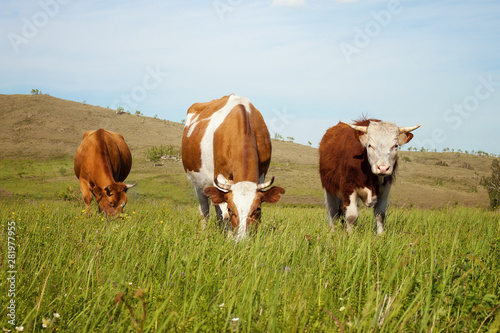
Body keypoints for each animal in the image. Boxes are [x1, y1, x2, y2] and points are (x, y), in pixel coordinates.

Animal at [183, 94, 286, 240]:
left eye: (258, 209)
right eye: (232, 209)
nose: (243, 240)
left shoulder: (260, 176)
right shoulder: (221, 178)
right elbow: (225, 213)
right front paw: (230, 237)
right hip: (199, 183)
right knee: (205, 210)